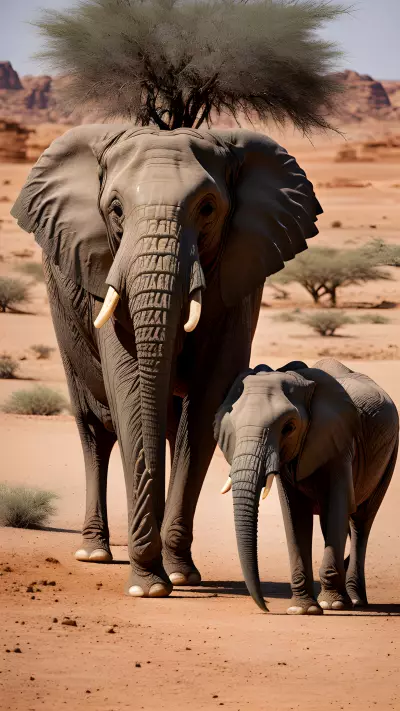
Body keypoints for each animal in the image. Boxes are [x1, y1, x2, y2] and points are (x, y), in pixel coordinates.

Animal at [11, 125, 321, 598]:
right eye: (116, 209)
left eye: (207, 208)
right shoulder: (103, 266)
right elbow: (127, 386)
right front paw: (148, 585)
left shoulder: (240, 273)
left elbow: (210, 396)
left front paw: (177, 575)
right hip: (60, 308)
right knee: (94, 428)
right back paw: (94, 552)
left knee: (170, 426)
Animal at [215, 357, 398, 613]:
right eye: (232, 425)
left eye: (289, 428)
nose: (266, 608)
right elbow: (295, 515)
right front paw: (303, 609)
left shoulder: (339, 443)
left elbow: (336, 505)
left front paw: (331, 604)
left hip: (389, 453)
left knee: (361, 522)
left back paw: (355, 600)